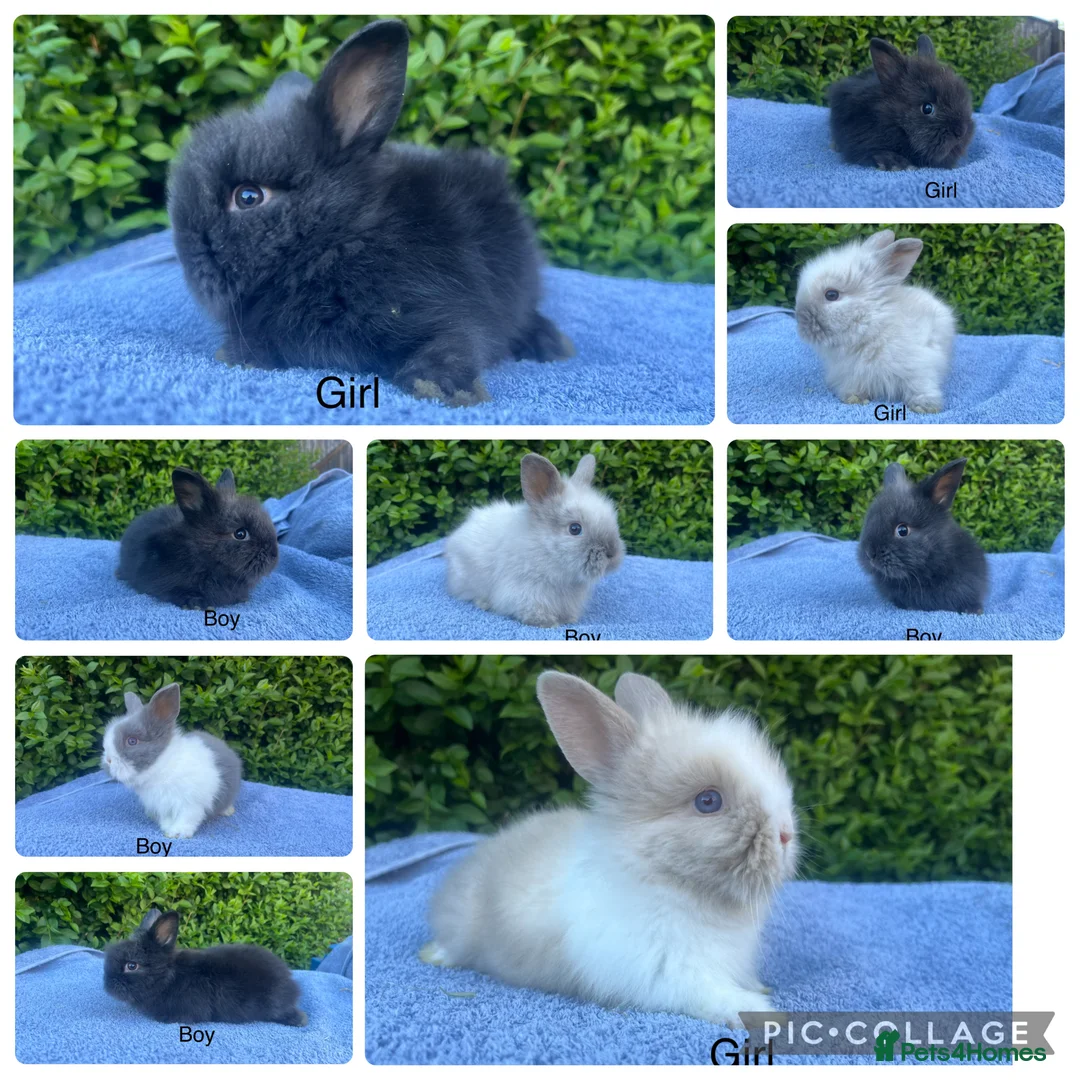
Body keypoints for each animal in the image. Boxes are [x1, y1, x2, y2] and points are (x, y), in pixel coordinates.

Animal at [101, 682, 243, 839]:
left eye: (132, 741)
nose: (108, 760)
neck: (161, 768)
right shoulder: (163, 806)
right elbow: (167, 818)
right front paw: (167, 828)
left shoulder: (191, 804)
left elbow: (187, 818)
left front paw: (178, 833)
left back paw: (228, 811)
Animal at [168, 19, 573, 407]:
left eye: (248, 197)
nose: (190, 264)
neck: (344, 239)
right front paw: (239, 355)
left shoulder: (448, 307)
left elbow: (458, 343)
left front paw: (441, 388)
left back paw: (551, 344)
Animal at [421, 671, 799, 1027]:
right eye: (708, 801)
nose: (786, 834)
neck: (667, 878)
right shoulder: (665, 973)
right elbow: (710, 994)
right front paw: (761, 1011)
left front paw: (759, 989)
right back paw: (432, 955)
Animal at [444, 453, 625, 627]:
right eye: (575, 529)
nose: (612, 554)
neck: (545, 549)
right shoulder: (527, 591)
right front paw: (548, 624)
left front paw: (569, 619)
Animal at [795, 228, 954, 413]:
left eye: (832, 295)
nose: (800, 323)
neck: (872, 329)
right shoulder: (852, 375)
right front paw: (853, 399)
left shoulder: (921, 368)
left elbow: (921, 386)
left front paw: (925, 407)